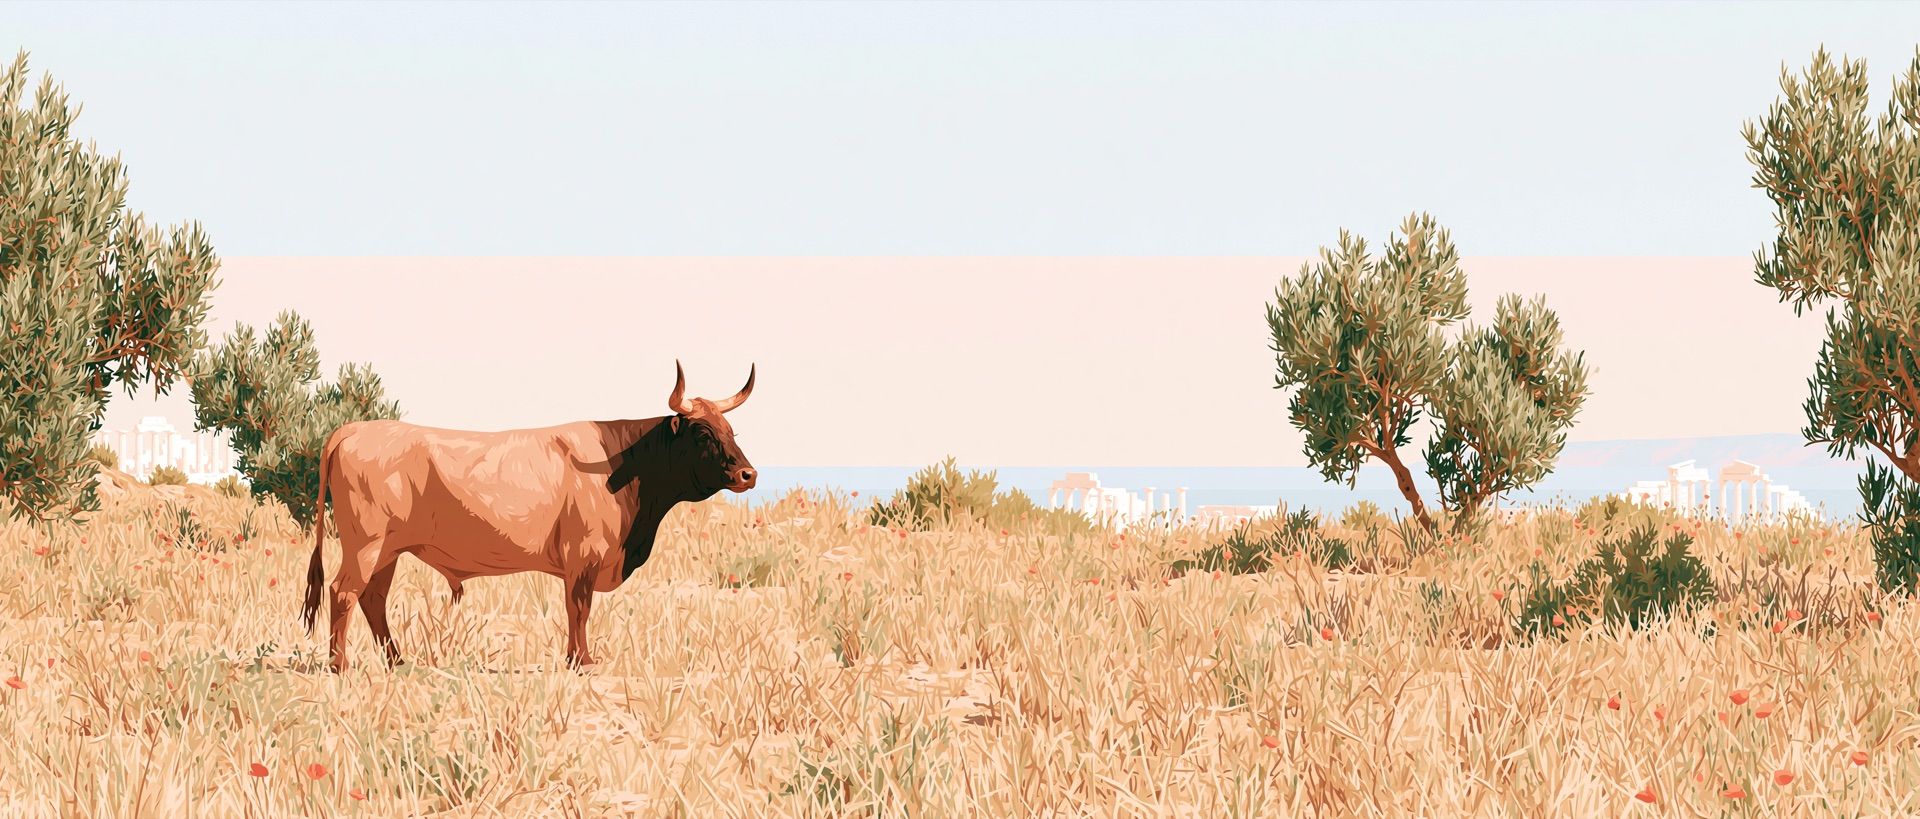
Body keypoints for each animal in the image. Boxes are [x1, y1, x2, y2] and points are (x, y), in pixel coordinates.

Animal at [300, 361, 757, 672]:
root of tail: (352, 429)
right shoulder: (584, 555)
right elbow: (579, 608)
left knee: (373, 599)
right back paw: (340, 665)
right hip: (366, 544)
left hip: (388, 550)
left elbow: (576, 609)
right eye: (703, 433)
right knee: (344, 593)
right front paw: (583, 661)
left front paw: (576, 659)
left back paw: (397, 661)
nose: (748, 474)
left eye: (730, 430)